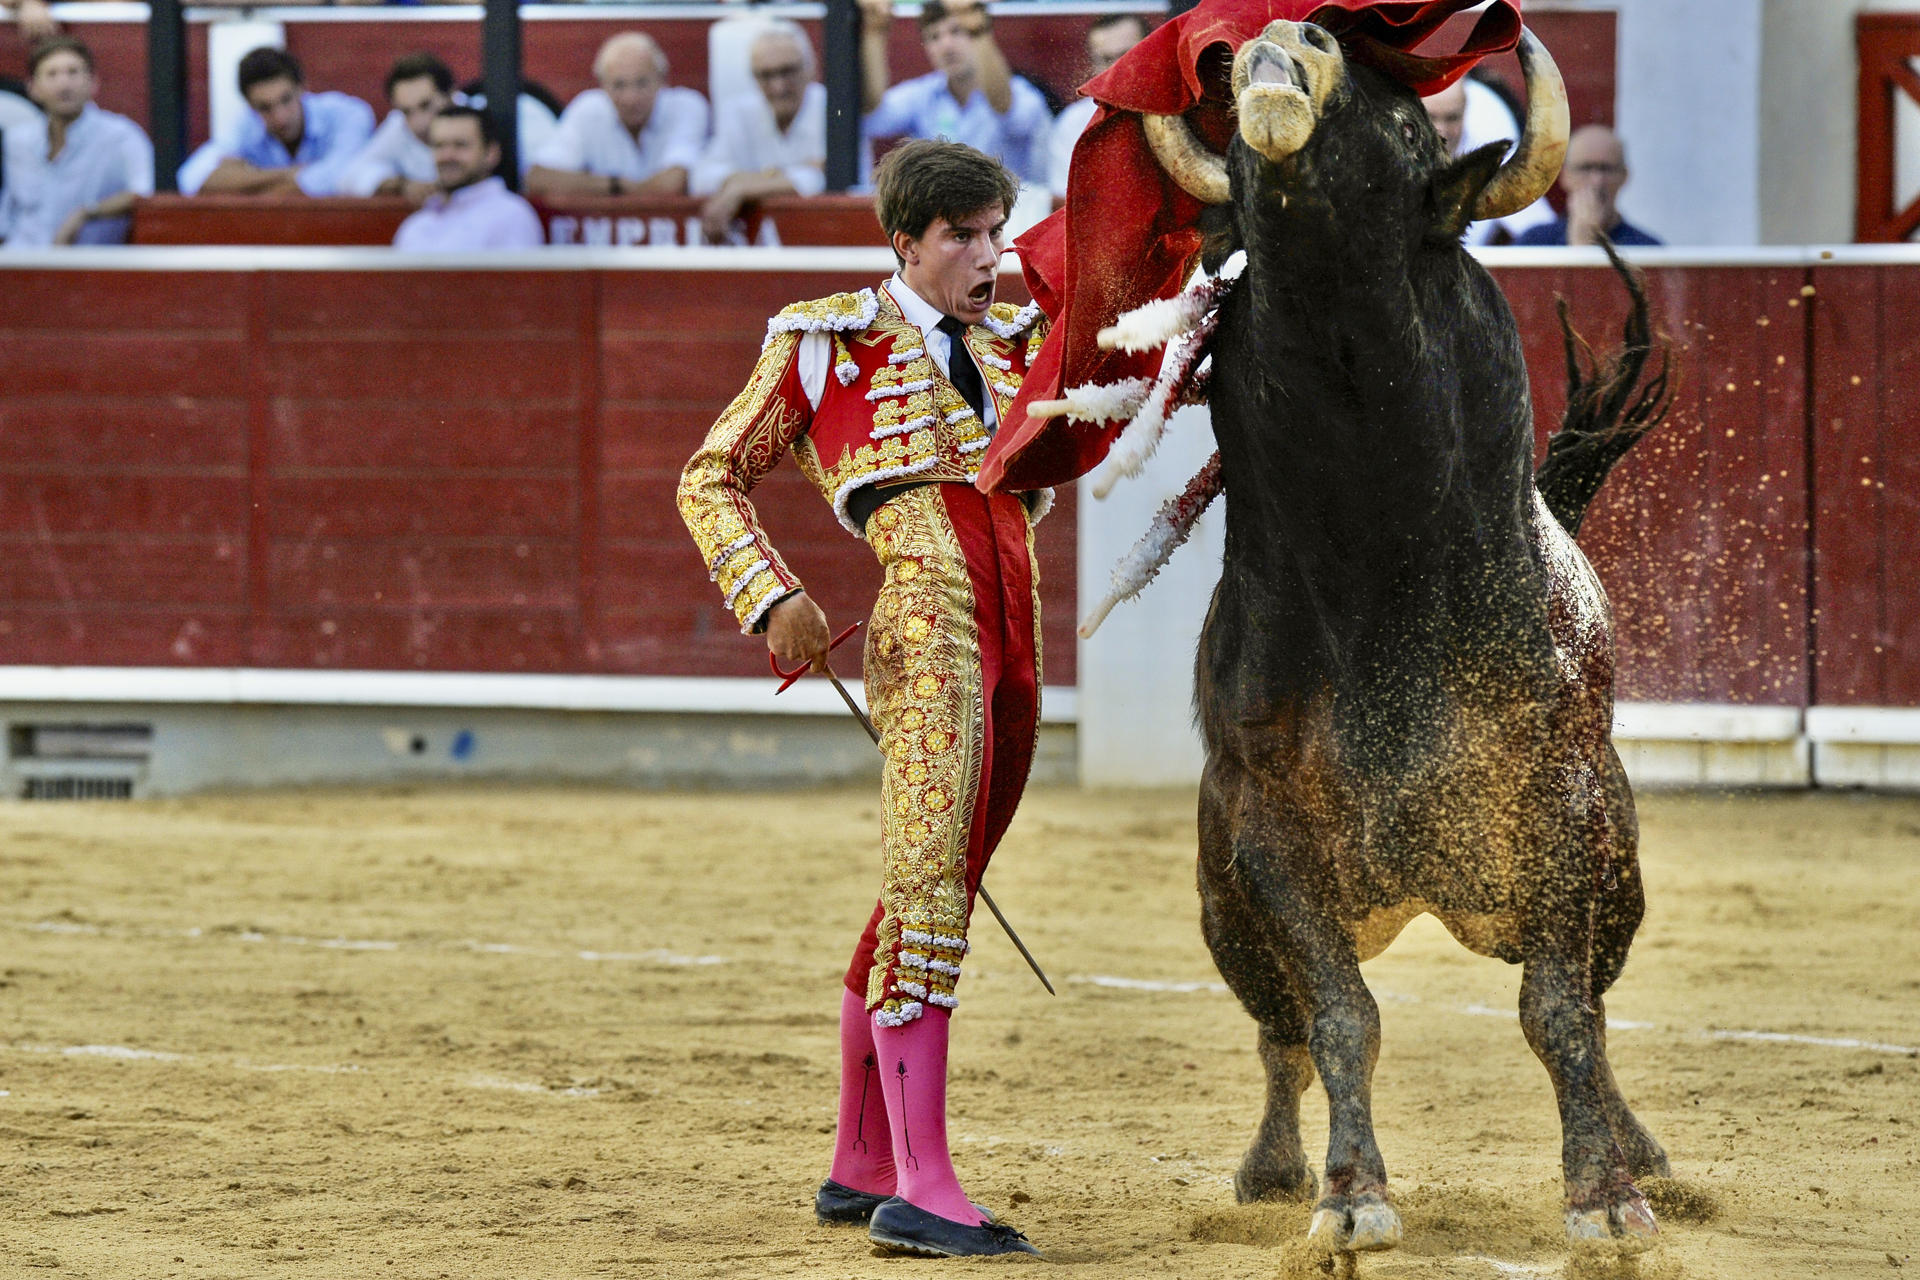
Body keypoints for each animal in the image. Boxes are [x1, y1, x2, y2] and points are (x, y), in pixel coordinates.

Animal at [1136, 20, 1681, 1258]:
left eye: (1400, 120)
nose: (1276, 44)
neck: (1377, 552)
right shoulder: (1270, 830)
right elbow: (1342, 1013)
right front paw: (1348, 1194)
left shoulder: (1558, 808)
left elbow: (1561, 1011)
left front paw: (1606, 1195)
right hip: (1223, 910)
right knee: (1279, 1026)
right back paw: (1272, 1166)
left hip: (1607, 875)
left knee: (1597, 998)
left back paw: (1649, 1155)